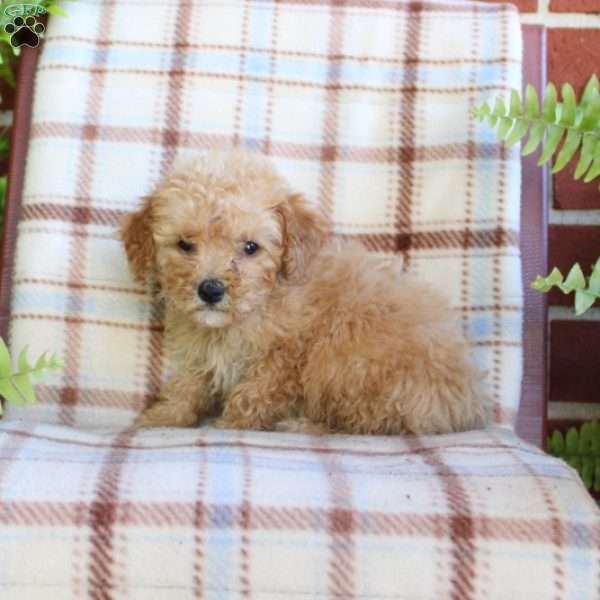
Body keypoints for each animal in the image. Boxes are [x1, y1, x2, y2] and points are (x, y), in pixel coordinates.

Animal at [120, 149, 488, 432]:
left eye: (250, 248)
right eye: (184, 244)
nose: (210, 290)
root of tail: (467, 402)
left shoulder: (286, 356)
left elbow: (254, 394)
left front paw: (230, 425)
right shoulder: (202, 352)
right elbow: (189, 385)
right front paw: (162, 418)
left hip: (346, 362)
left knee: (370, 422)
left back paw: (302, 425)